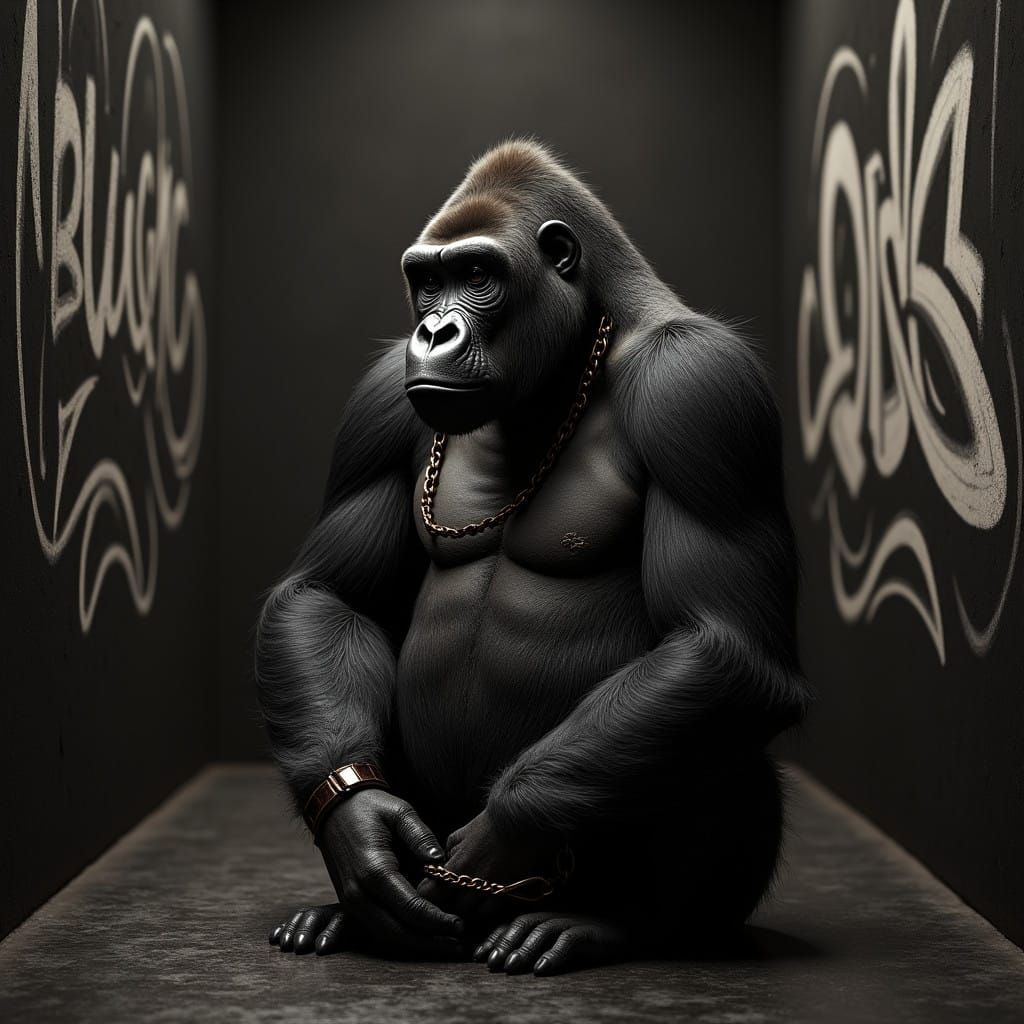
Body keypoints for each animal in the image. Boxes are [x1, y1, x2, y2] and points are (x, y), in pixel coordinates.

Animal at [257, 139, 808, 976]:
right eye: (428, 280)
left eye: (479, 274)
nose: (433, 333)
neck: (579, 354)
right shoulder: (377, 400)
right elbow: (328, 593)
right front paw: (362, 829)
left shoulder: (701, 387)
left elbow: (724, 642)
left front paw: (502, 837)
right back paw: (347, 912)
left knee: (721, 717)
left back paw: (619, 923)